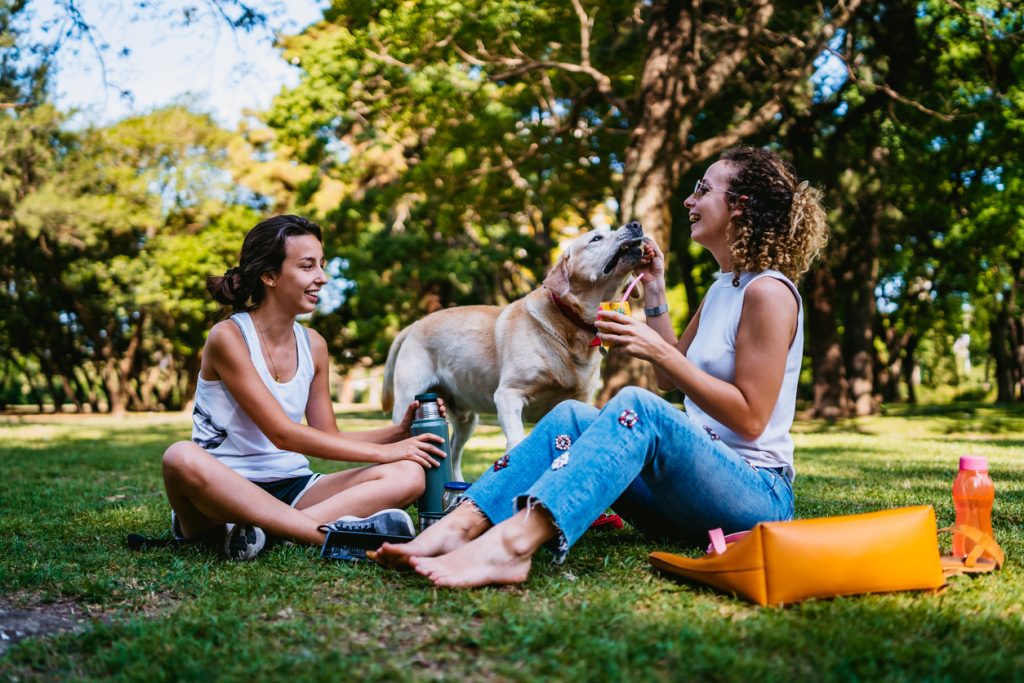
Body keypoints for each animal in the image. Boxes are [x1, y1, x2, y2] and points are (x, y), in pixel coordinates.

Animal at [380, 222, 643, 479]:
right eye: (596, 238)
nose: (636, 225)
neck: (569, 326)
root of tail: (413, 325)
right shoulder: (508, 395)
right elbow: (516, 439)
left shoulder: (581, 400)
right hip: (407, 402)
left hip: (466, 420)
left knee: (453, 453)